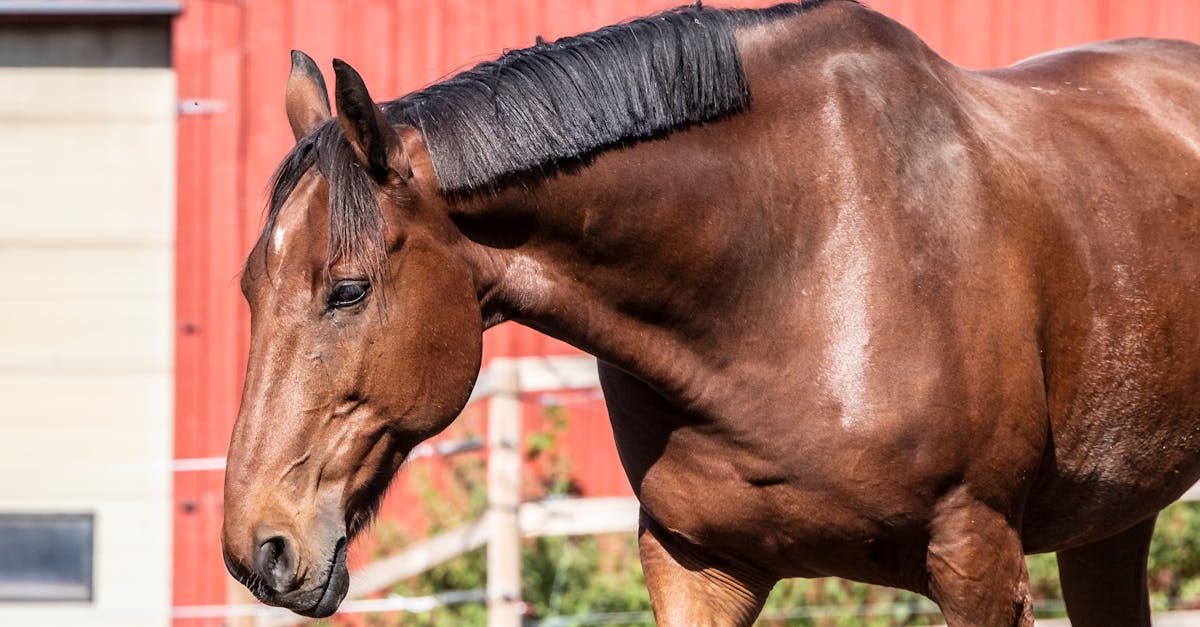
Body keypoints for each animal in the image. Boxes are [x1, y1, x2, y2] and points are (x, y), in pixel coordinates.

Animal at [219, 0, 1200, 624]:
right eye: (248, 289)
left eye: (347, 289)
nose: (257, 548)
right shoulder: (698, 565)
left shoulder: (978, 558)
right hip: (1112, 521)